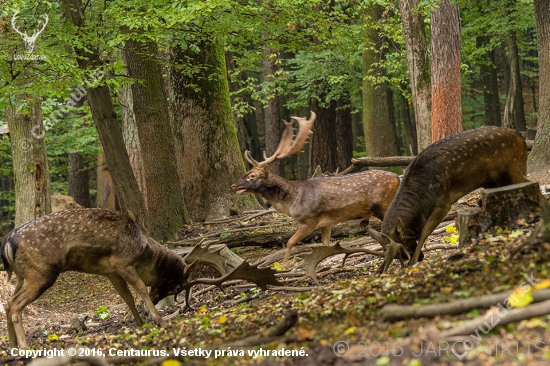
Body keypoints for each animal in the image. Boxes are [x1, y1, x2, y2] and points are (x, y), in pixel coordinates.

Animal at [1, 209, 192, 348]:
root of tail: (8, 242)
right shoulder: (122, 262)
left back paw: (12, 346)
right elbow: (141, 288)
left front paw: (140, 323)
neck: (143, 252)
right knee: (16, 305)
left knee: (8, 303)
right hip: (41, 273)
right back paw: (25, 346)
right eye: (177, 287)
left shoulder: (111, 272)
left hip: (22, 276)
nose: (157, 298)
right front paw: (158, 320)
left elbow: (128, 297)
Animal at [233, 111, 402, 266]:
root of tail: (397, 178)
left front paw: (284, 266)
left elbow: (290, 241)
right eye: (246, 172)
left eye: (252, 176)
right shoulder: (326, 223)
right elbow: (325, 244)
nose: (234, 184)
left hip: (383, 205)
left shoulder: (310, 220)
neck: (292, 201)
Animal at [368, 126, 532, 272]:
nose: (420, 257)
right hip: (493, 179)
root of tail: (520, 136)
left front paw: (412, 263)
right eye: (397, 255)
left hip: (514, 168)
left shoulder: (442, 202)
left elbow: (424, 232)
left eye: (404, 244)